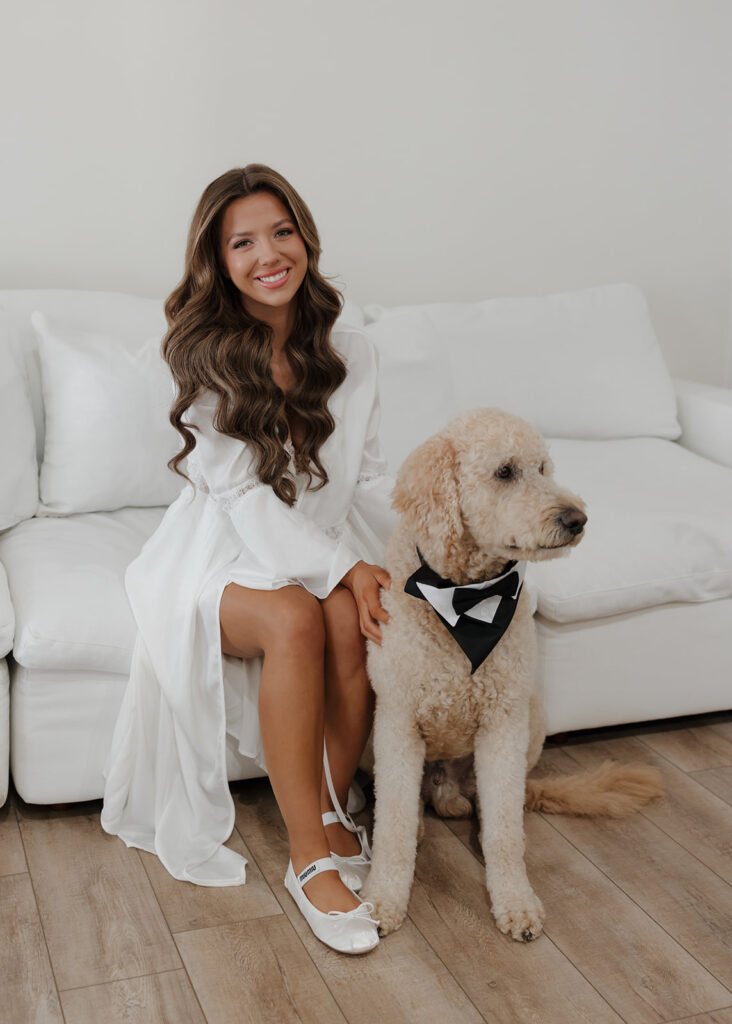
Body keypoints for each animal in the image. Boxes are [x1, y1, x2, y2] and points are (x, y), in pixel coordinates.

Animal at [364, 407, 663, 942]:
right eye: (505, 471)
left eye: (543, 467)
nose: (577, 519)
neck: (466, 600)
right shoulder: (397, 720)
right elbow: (392, 825)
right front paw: (383, 901)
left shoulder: (503, 723)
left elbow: (506, 829)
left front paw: (516, 903)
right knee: (407, 797)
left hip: (532, 719)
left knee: (481, 798)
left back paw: (461, 806)